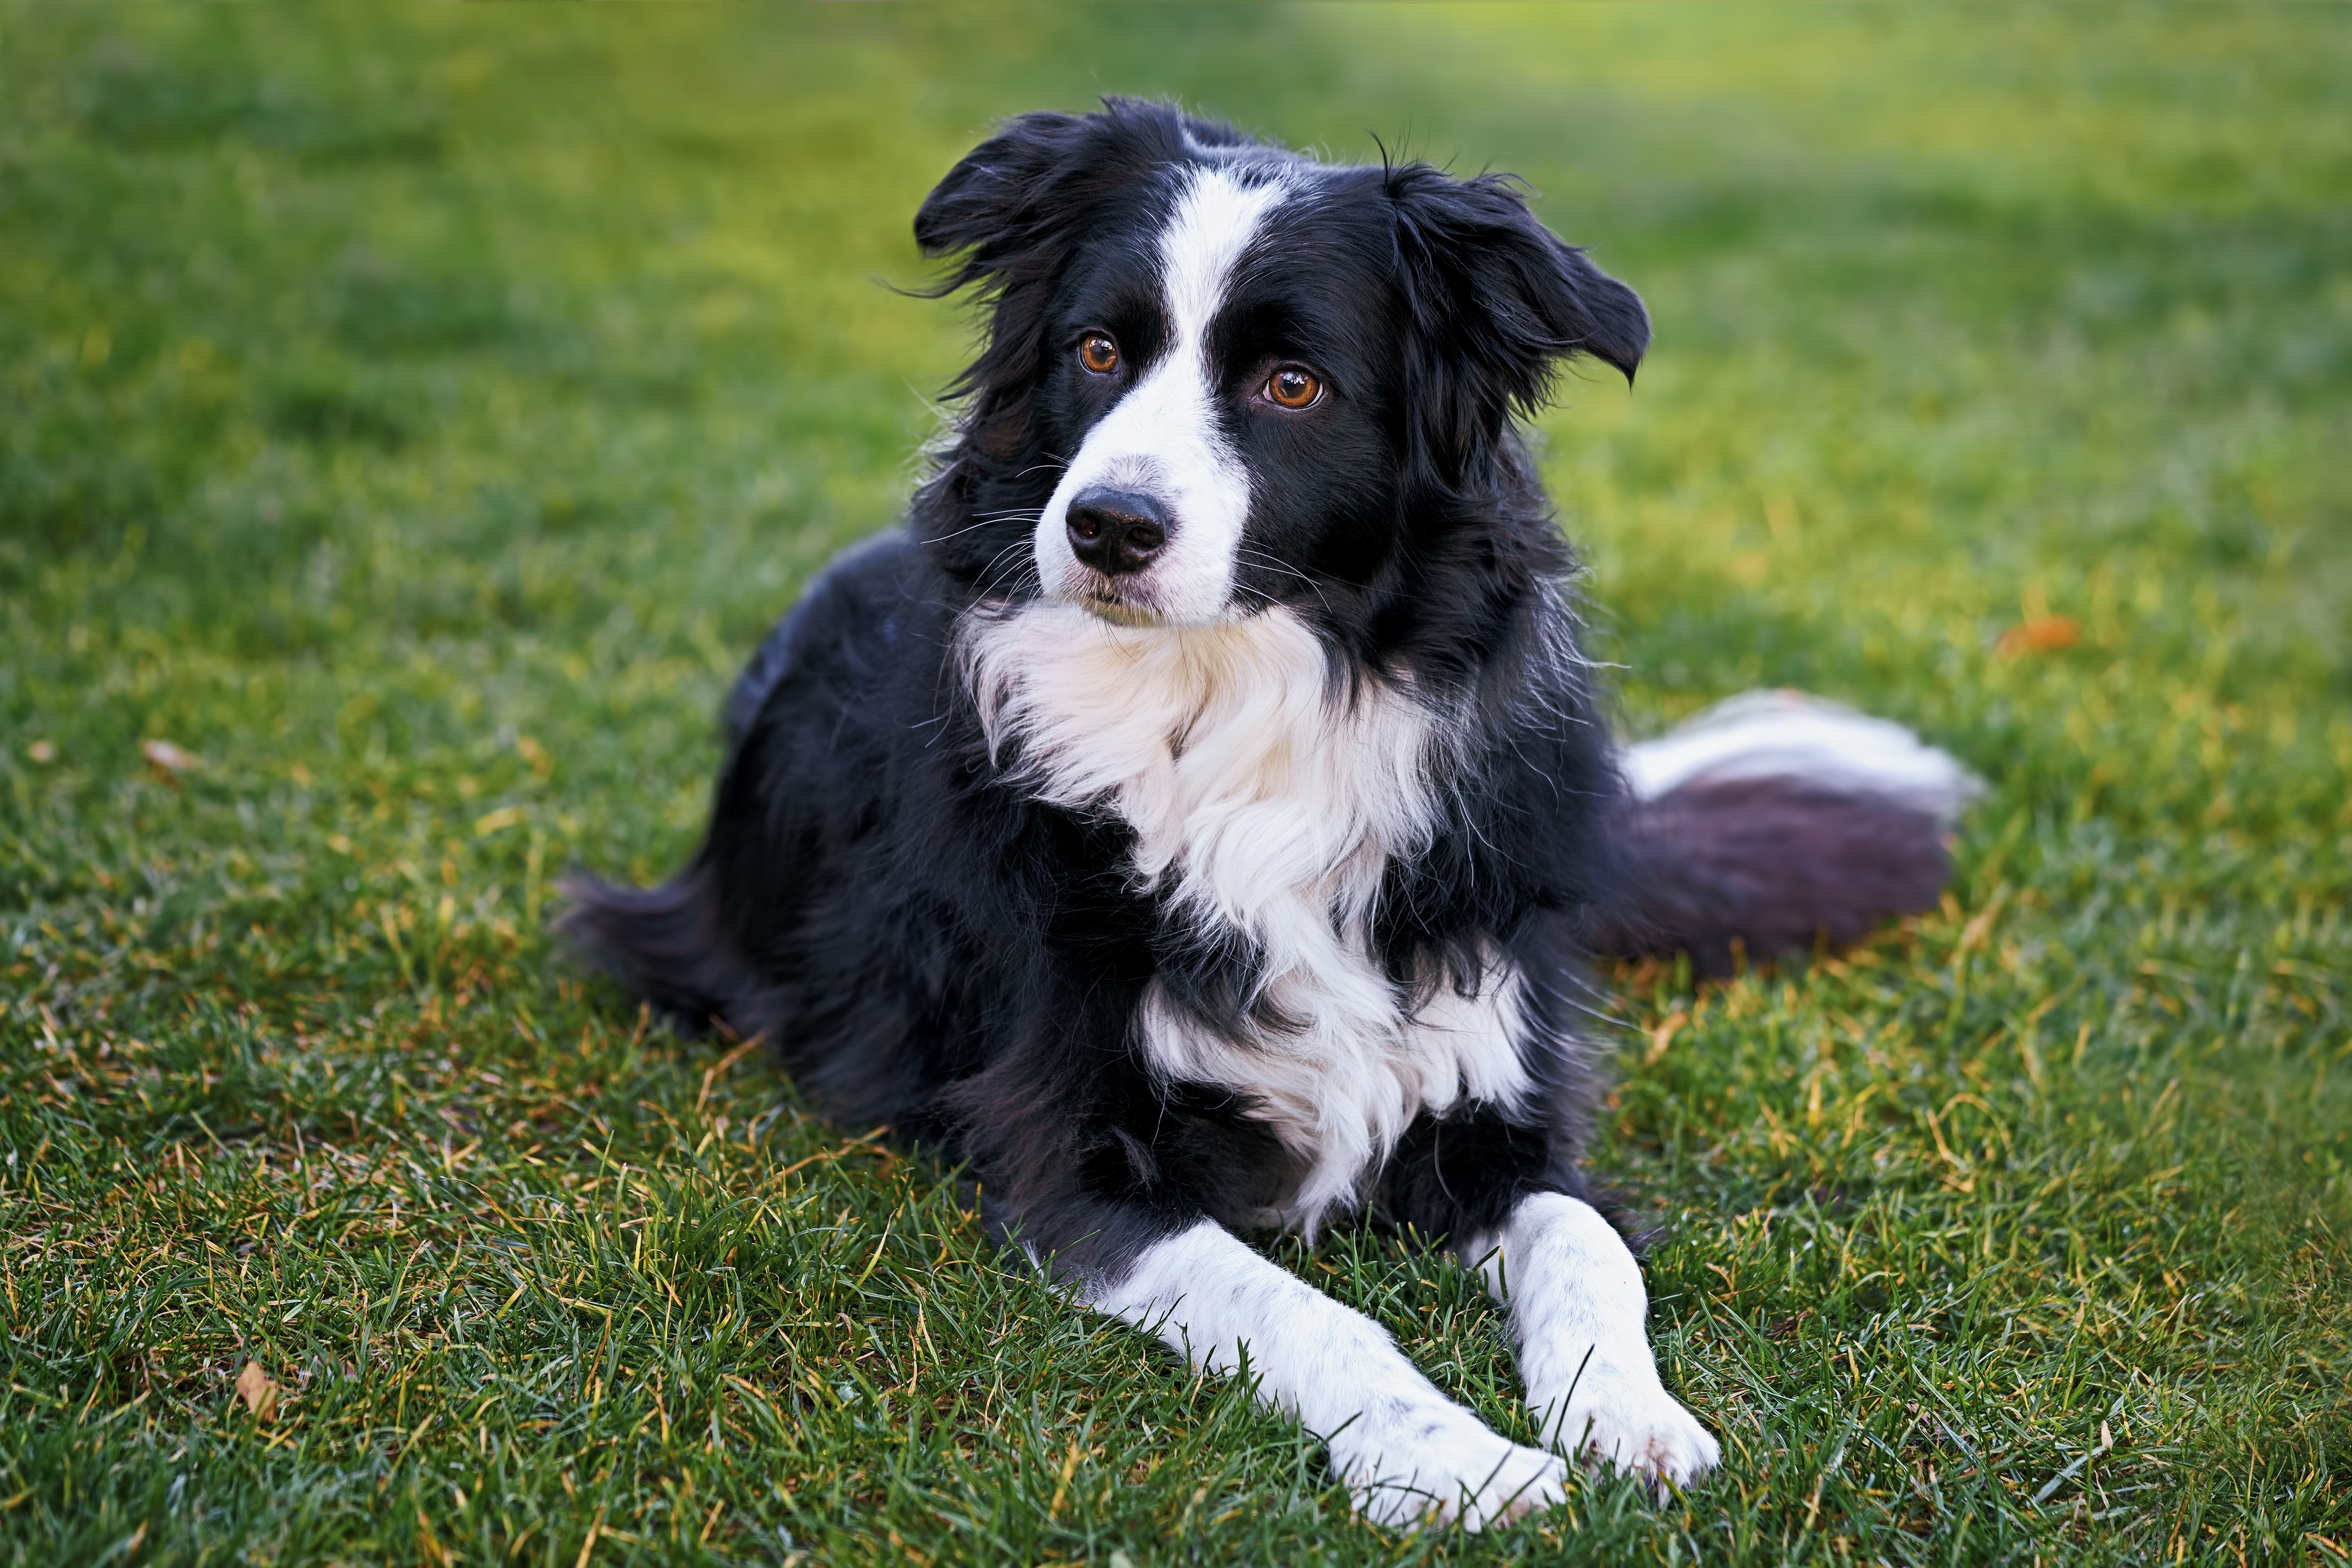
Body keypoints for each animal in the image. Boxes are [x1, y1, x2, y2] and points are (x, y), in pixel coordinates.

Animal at [564, 104, 1966, 1523]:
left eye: (1294, 386)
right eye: (1096, 352)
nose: (1107, 527)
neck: (1237, 711)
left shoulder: (1497, 1094)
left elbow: (1586, 1244)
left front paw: (1633, 1418)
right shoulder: (1072, 1152)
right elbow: (1314, 1314)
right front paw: (1461, 1461)